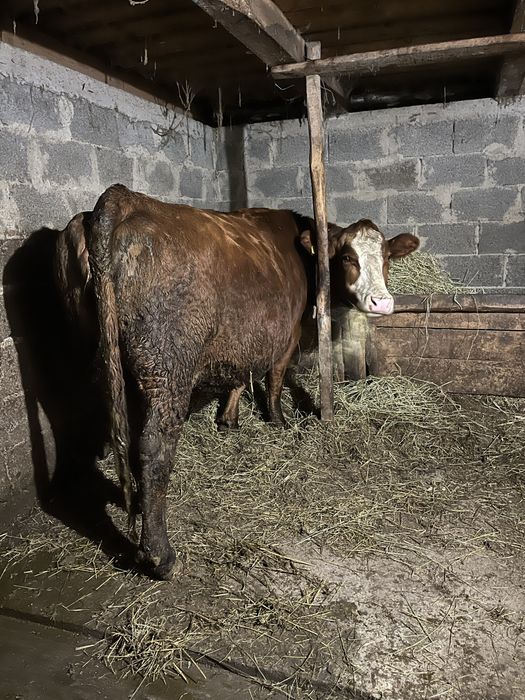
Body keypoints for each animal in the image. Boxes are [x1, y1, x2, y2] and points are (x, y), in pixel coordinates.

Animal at [56, 184, 418, 579]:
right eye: (349, 258)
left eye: (386, 258)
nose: (381, 302)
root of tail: (122, 199)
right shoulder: (285, 334)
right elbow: (273, 378)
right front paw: (277, 420)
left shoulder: (244, 335)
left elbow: (240, 376)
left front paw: (229, 420)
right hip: (166, 364)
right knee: (153, 447)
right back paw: (160, 556)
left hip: (93, 356)